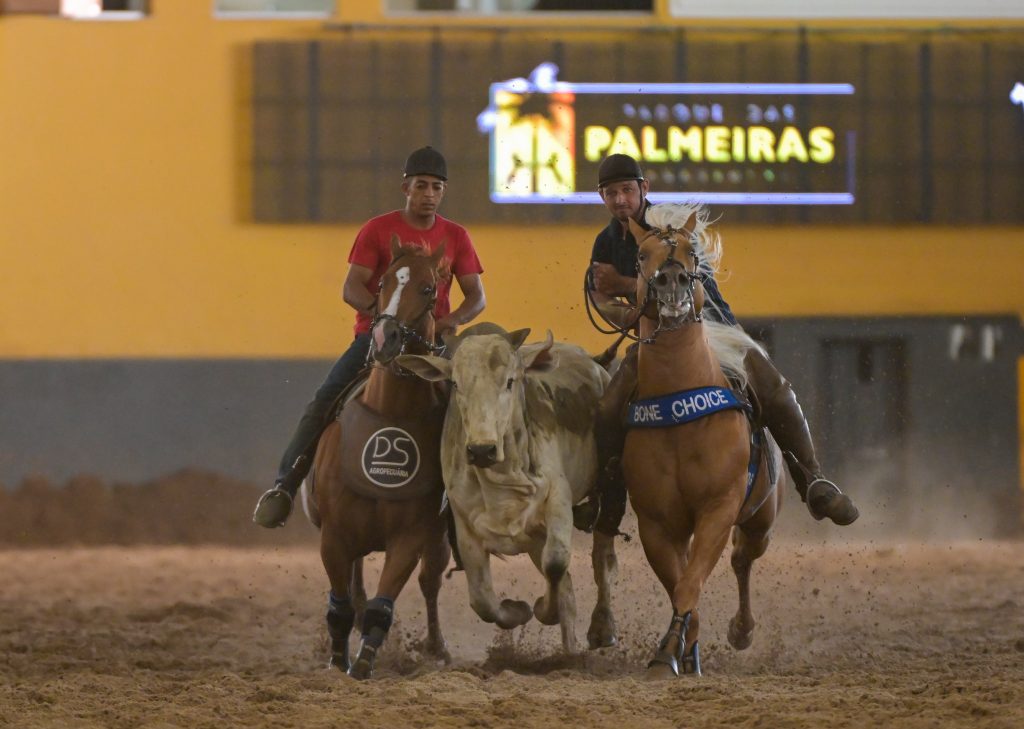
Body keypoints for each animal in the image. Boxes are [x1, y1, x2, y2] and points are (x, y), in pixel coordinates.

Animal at [299, 236, 452, 679]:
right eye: (383, 281)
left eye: (429, 288)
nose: (386, 338)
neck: (391, 413)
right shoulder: (334, 535)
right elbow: (342, 604)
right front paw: (338, 659)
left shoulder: (411, 537)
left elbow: (383, 607)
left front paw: (364, 662)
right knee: (355, 587)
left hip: (436, 539)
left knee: (430, 582)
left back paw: (437, 647)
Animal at [397, 321, 614, 651]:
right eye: (456, 383)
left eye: (510, 381)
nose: (481, 450)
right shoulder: (465, 528)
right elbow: (483, 601)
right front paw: (518, 610)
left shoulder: (557, 501)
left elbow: (556, 563)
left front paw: (542, 609)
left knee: (601, 558)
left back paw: (602, 627)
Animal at [622, 203, 782, 675]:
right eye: (641, 255)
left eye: (691, 253)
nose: (671, 282)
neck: (681, 414)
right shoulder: (656, 524)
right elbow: (679, 583)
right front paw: (672, 650)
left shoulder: (718, 509)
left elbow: (690, 584)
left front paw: (672, 648)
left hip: (761, 518)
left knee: (743, 558)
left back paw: (742, 631)